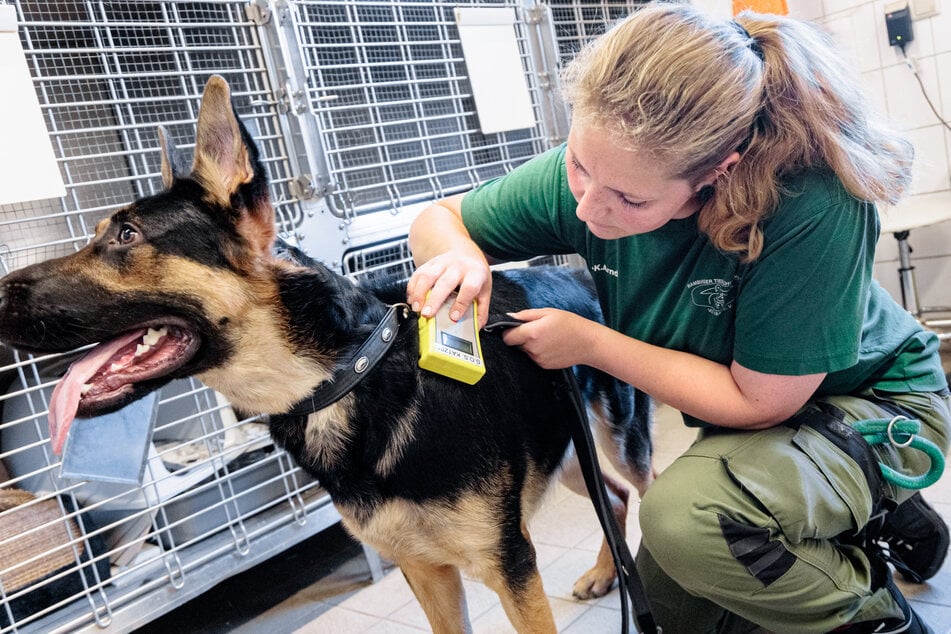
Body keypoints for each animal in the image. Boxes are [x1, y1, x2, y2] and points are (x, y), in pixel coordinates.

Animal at [0, 76, 652, 628]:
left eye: (126, 236)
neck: (349, 377)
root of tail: (576, 277)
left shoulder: (510, 565)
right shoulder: (426, 572)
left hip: (619, 442)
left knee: (636, 493)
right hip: (567, 453)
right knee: (614, 499)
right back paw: (605, 573)